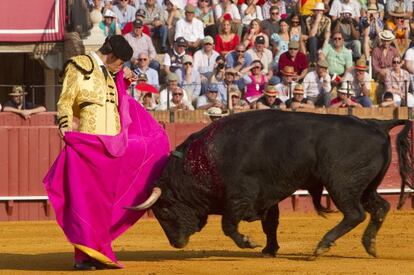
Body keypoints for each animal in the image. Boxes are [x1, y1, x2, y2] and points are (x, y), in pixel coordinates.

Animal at [128, 111, 412, 258]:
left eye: (164, 210)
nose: (176, 243)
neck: (204, 160)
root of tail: (378, 123)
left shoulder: (239, 196)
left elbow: (228, 225)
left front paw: (249, 242)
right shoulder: (267, 196)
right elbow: (270, 224)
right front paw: (268, 249)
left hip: (342, 185)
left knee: (354, 214)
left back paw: (322, 246)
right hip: (366, 187)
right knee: (380, 208)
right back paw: (370, 245)